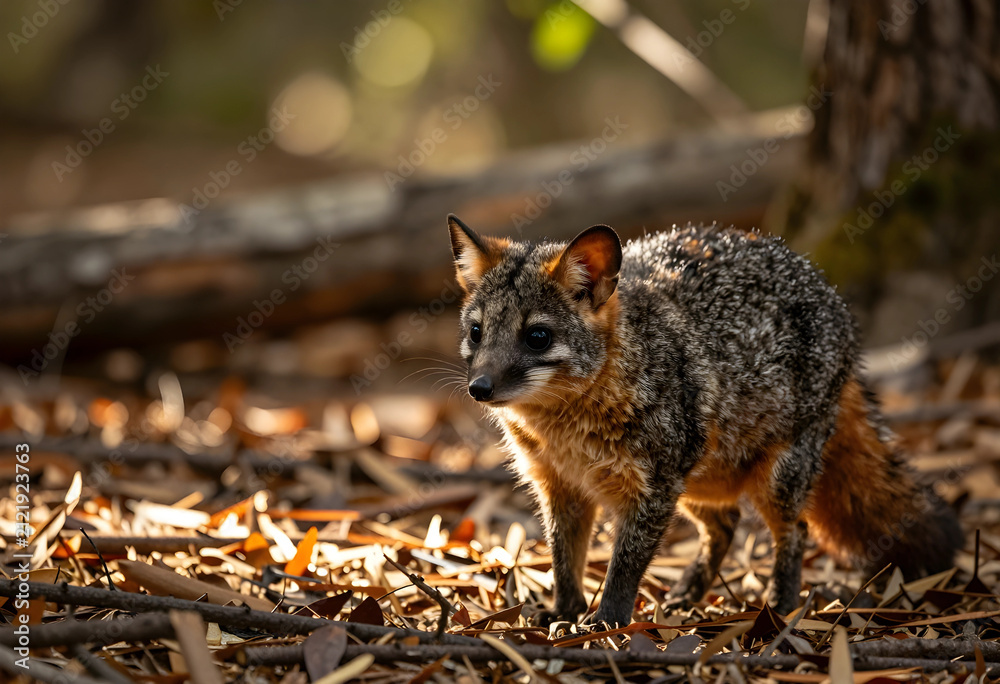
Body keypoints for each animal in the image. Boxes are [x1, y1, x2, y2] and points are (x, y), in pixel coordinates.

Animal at [446, 214, 962, 627]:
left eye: (537, 336)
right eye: (476, 332)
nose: (480, 389)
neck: (566, 430)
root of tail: (831, 296)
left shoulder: (651, 491)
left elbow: (623, 568)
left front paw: (607, 622)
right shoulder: (561, 488)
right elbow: (564, 561)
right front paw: (565, 612)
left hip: (770, 481)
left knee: (794, 532)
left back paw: (780, 603)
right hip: (698, 482)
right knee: (727, 523)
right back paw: (691, 591)